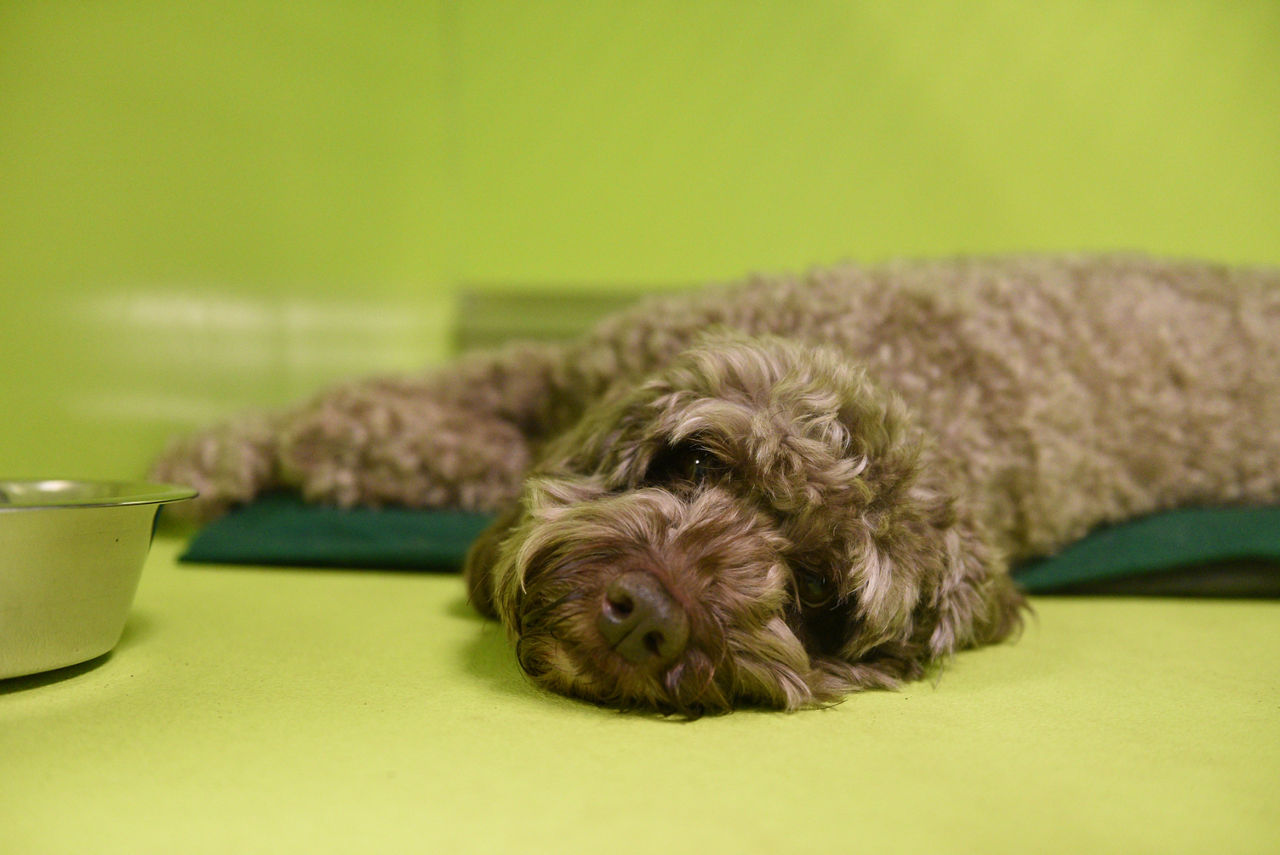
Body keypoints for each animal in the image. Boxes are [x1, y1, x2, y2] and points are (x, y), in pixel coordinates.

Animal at [152, 253, 1280, 716]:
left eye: (817, 594)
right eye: (696, 463)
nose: (650, 617)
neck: (907, 372)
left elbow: (380, 427)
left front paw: (314, 443)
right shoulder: (563, 368)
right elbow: (388, 393)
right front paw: (208, 456)